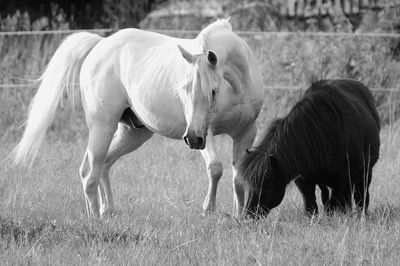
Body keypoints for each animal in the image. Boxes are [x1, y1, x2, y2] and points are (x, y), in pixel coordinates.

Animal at [10, 19, 264, 218]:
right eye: (184, 89)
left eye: (212, 91)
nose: (191, 140)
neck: (236, 87)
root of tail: (100, 44)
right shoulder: (205, 132)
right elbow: (215, 168)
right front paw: (208, 209)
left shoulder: (245, 133)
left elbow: (239, 176)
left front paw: (240, 215)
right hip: (103, 127)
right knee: (89, 172)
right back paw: (94, 220)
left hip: (134, 133)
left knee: (104, 164)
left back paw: (107, 211)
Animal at [239, 78, 380, 216]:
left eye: (266, 187)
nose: (248, 215)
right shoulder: (304, 181)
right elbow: (311, 206)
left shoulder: (340, 181)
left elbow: (334, 204)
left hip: (366, 172)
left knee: (361, 195)